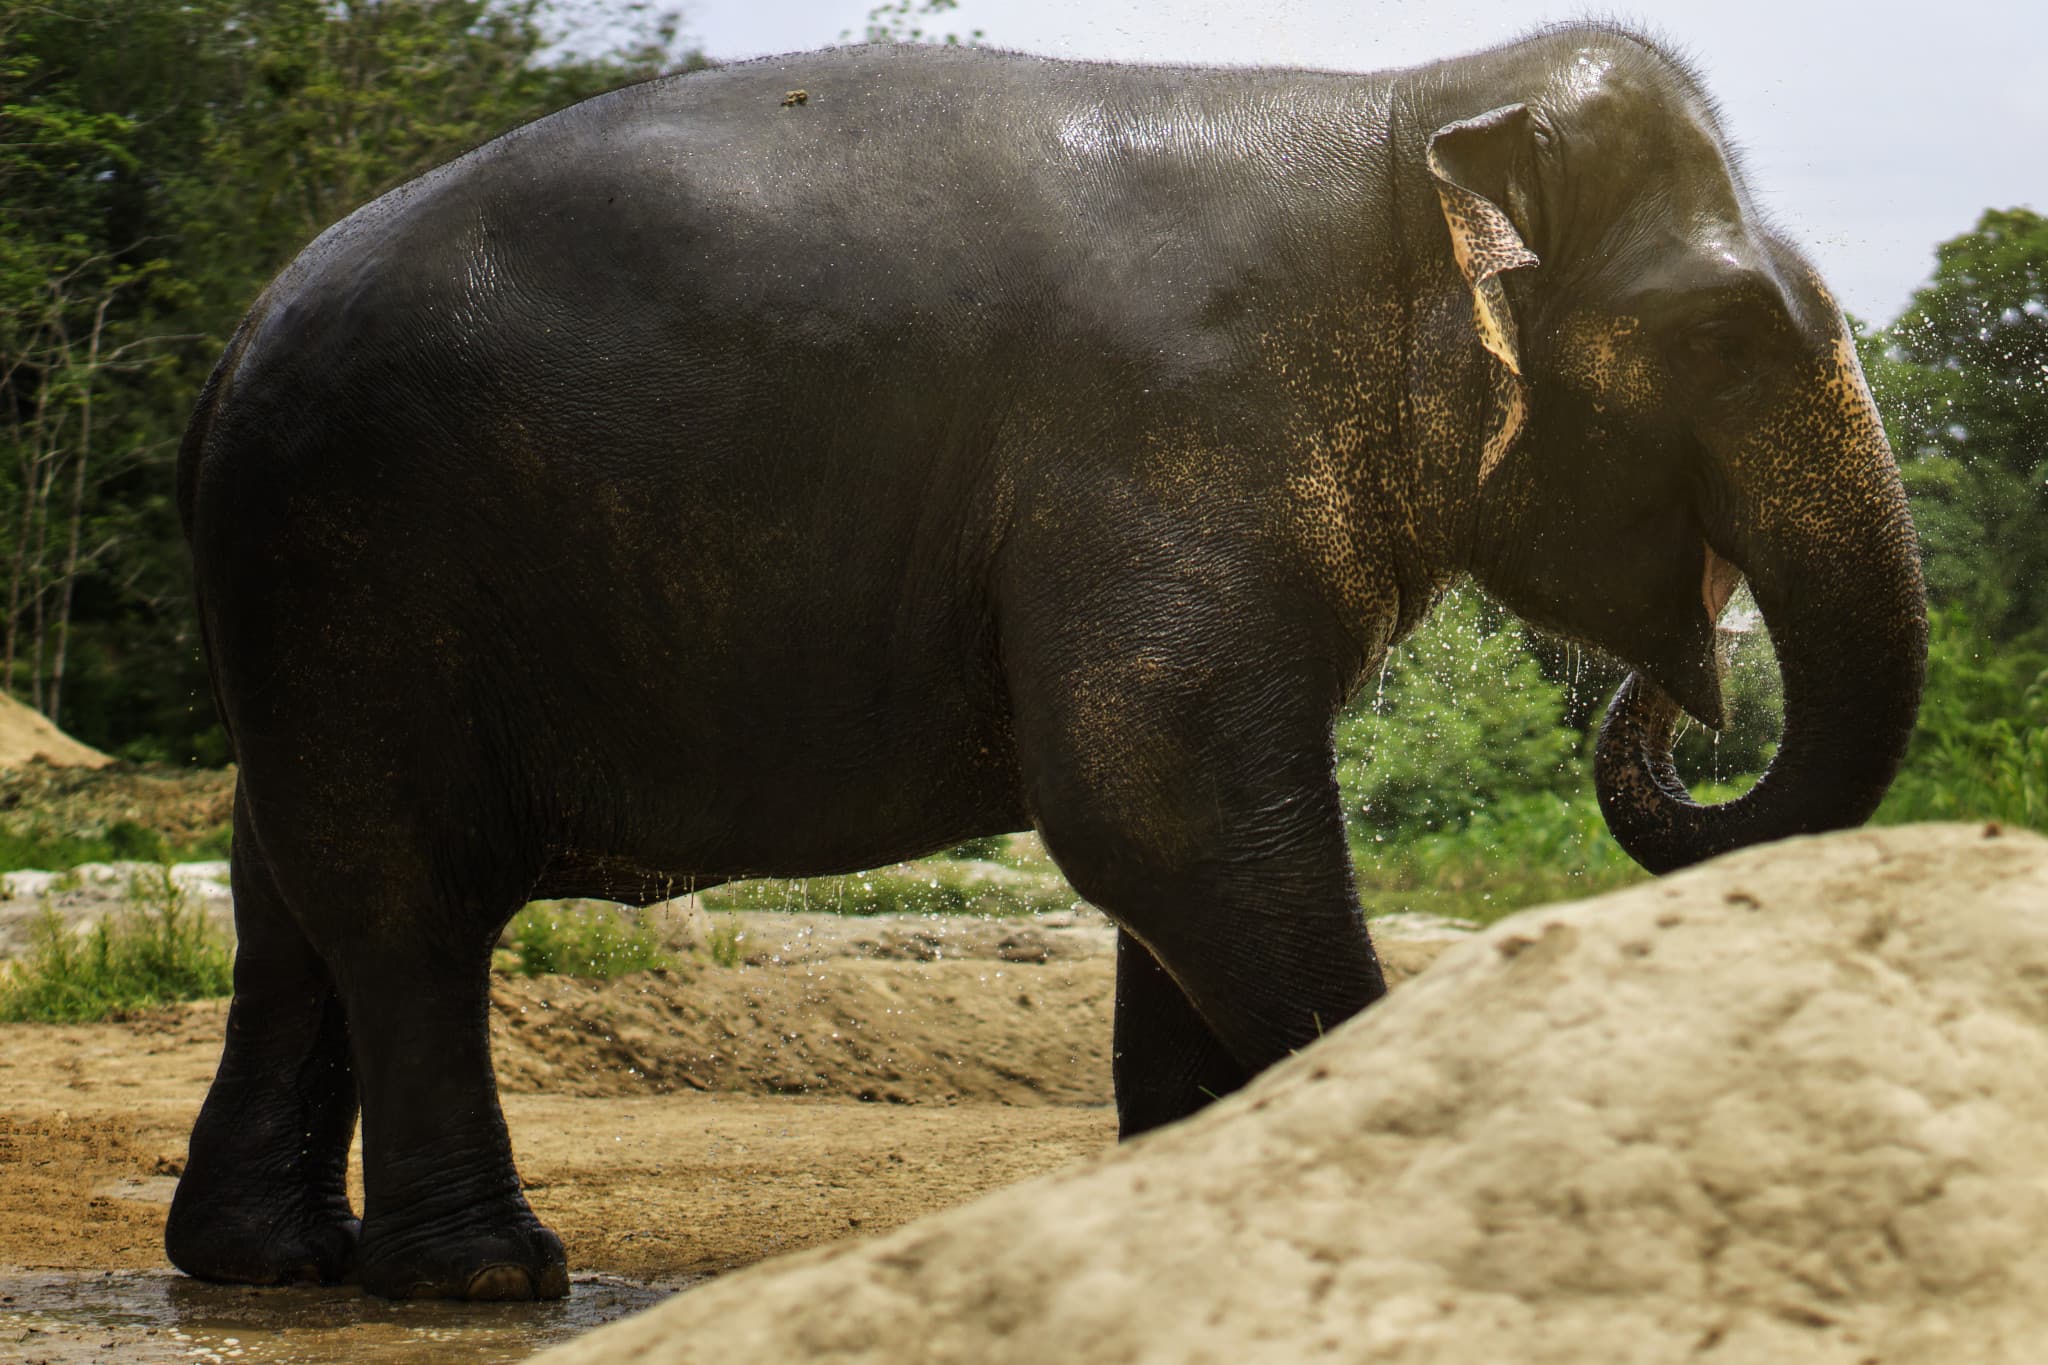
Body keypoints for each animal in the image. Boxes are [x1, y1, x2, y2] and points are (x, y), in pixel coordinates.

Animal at [167, 24, 1926, 1300]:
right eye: (1725, 339)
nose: (1677, 689)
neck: (1403, 113)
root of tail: (234, 344)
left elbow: (1178, 838)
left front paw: (1184, 1186)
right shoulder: (1171, 437)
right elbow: (1159, 804)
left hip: (304, 604)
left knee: (286, 897)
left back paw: (268, 1263)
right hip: (352, 564)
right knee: (405, 903)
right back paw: (482, 1279)